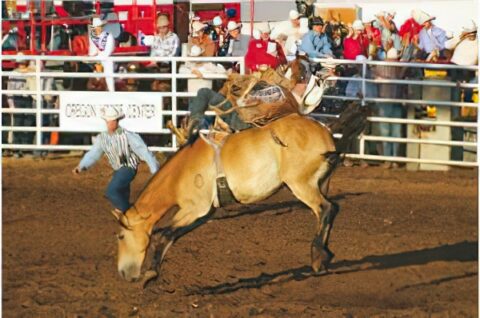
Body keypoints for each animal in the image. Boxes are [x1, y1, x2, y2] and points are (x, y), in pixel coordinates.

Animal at [110, 104, 366, 286]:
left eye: (121, 236)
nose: (122, 273)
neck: (182, 170)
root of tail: (326, 130)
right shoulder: (203, 213)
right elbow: (172, 235)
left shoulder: (194, 208)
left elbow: (163, 235)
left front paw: (149, 275)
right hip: (321, 183)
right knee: (329, 212)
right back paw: (325, 255)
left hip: (301, 184)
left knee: (326, 208)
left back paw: (317, 257)